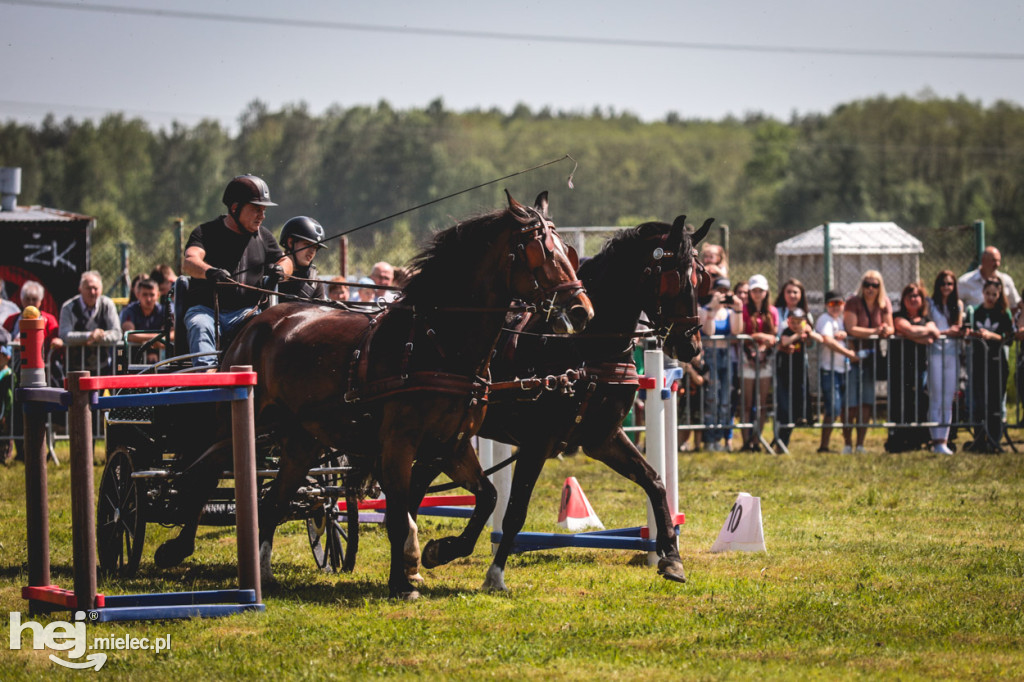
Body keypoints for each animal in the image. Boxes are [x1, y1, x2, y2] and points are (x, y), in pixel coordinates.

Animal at [155, 189, 598, 593]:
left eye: (568, 251)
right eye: (543, 252)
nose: (582, 311)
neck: (437, 344)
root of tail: (258, 320)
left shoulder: (450, 445)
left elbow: (485, 498)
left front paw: (437, 552)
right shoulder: (399, 444)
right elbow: (400, 513)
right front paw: (404, 577)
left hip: (301, 441)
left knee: (272, 501)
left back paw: (262, 572)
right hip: (235, 425)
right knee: (205, 476)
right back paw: (176, 548)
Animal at [407, 214, 712, 589]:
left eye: (700, 278)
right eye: (674, 278)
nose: (691, 347)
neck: (584, 350)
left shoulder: (602, 439)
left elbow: (655, 483)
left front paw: (672, 557)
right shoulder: (537, 443)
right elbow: (515, 511)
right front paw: (495, 574)